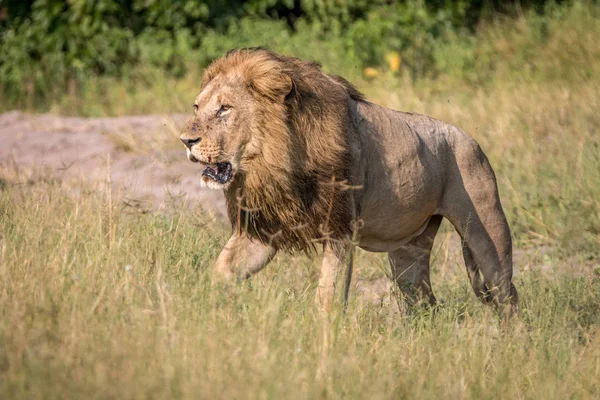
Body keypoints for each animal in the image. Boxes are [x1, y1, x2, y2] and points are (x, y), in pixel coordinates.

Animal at [180, 47, 516, 316]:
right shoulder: (260, 233)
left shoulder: (339, 230)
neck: (272, 163)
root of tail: (471, 139)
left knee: (506, 292)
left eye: (225, 108)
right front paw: (198, 307)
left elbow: (327, 297)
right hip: (409, 249)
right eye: (197, 107)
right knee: (425, 302)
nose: (185, 140)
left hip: (486, 231)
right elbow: (219, 272)